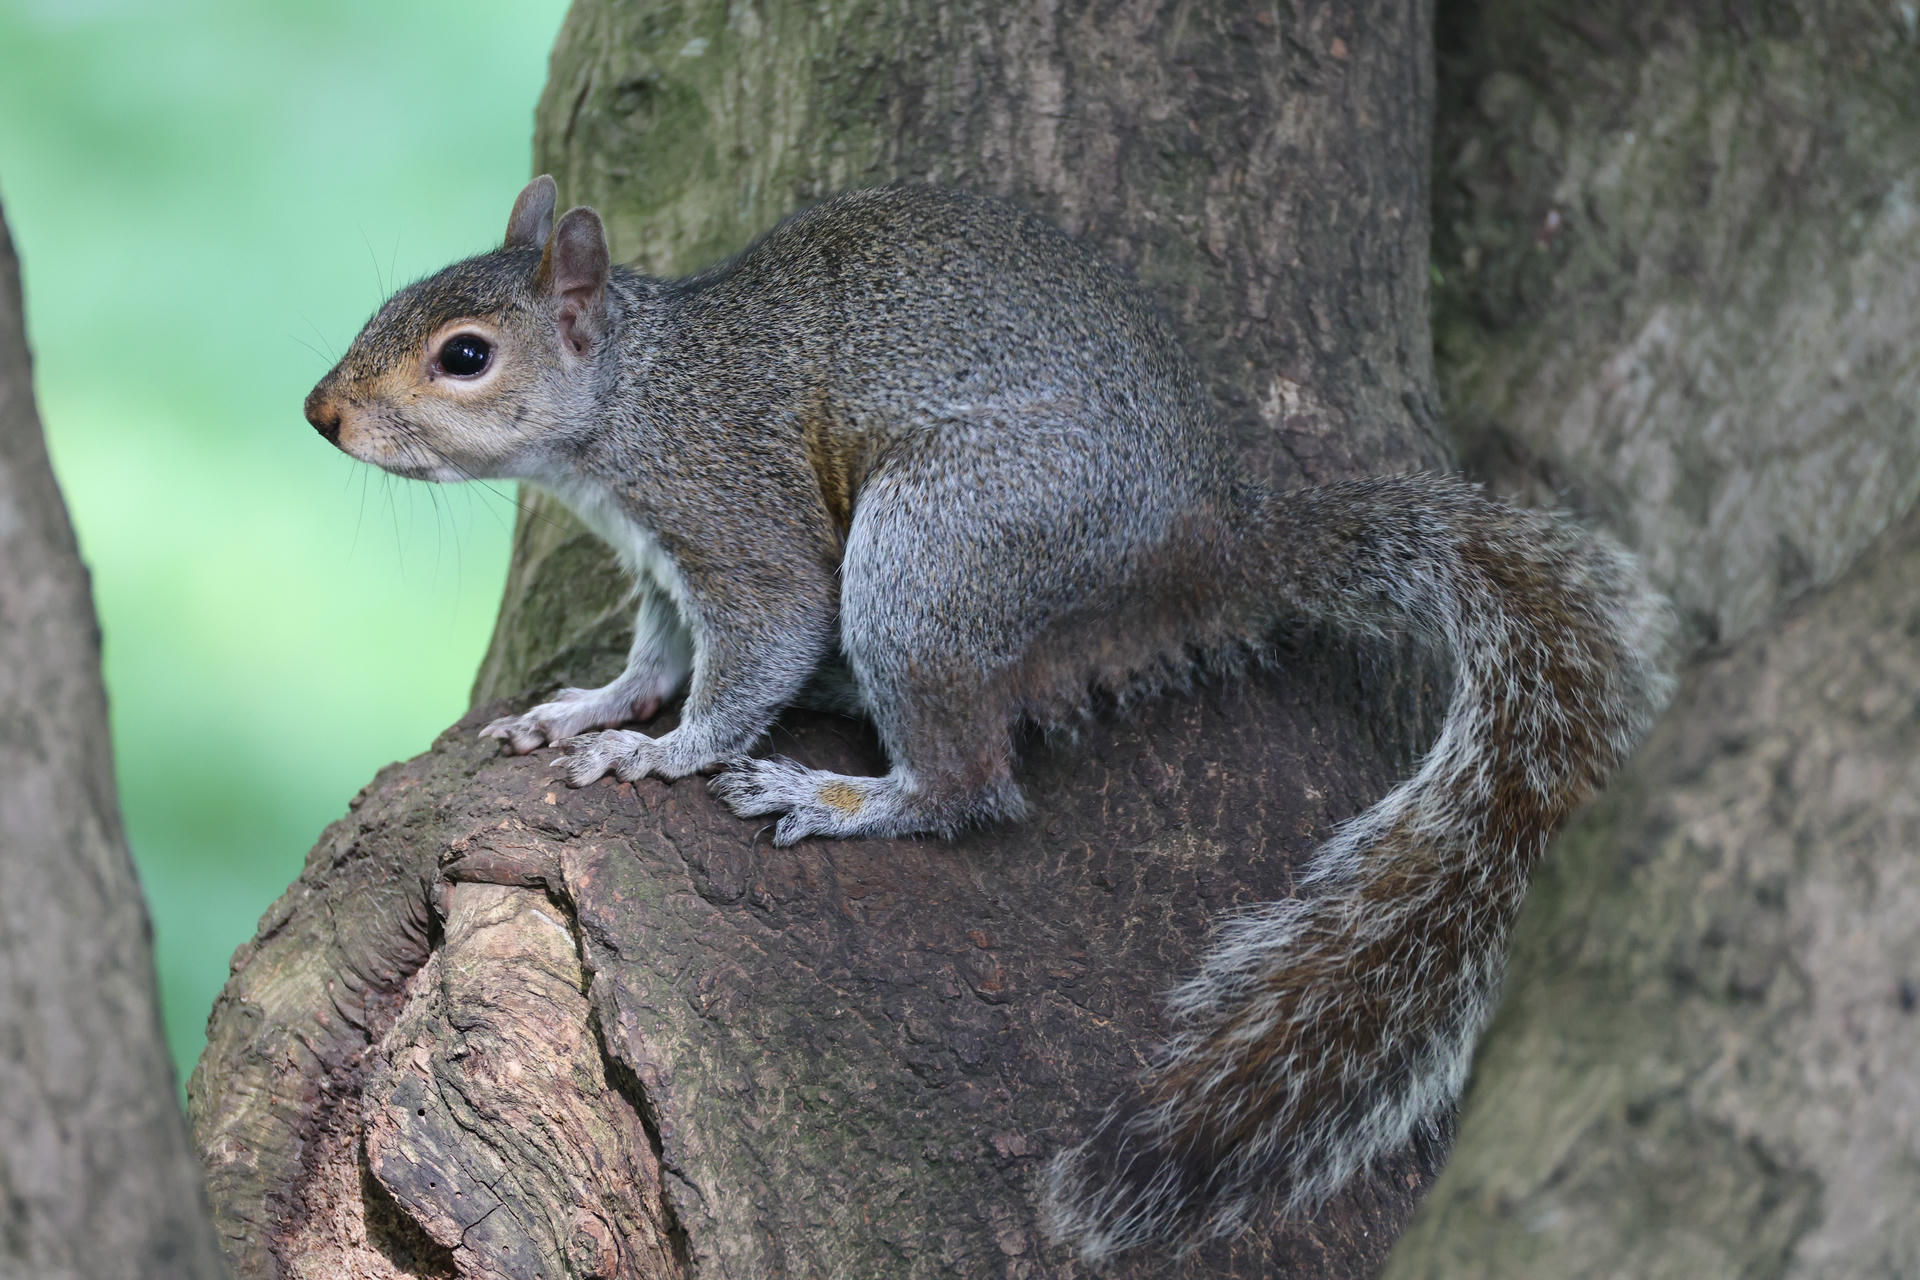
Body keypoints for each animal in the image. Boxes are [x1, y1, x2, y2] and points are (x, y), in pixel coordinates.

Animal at [305, 176, 1673, 1262]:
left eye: (465, 354)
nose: (321, 412)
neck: (633, 393)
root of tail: (1196, 544)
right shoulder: (659, 564)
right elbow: (655, 656)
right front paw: (590, 710)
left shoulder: (736, 520)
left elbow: (754, 654)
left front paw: (661, 753)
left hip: (938, 549)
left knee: (972, 778)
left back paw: (844, 796)